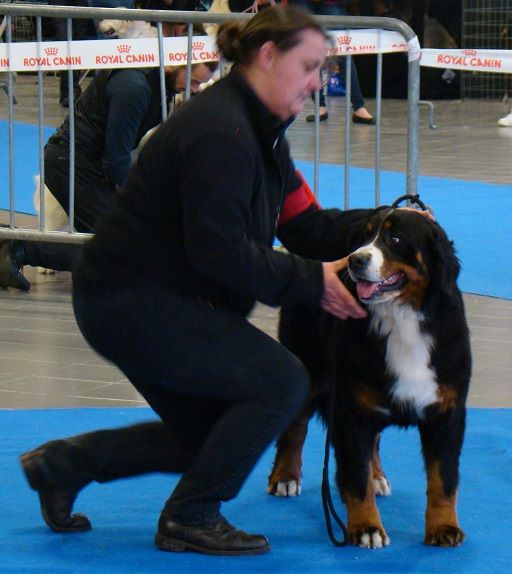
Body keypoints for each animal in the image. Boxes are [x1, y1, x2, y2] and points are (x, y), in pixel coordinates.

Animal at [268, 209, 472, 552]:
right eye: (363, 237)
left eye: (395, 238)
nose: (355, 260)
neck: (402, 317)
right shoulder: (351, 410)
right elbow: (355, 475)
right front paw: (366, 527)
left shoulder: (446, 412)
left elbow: (443, 478)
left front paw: (444, 527)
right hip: (310, 366)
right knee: (296, 426)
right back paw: (285, 476)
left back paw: (378, 476)